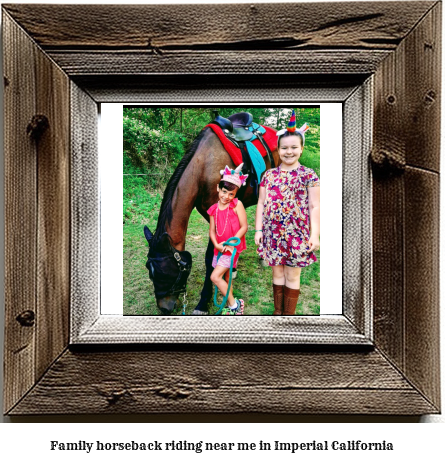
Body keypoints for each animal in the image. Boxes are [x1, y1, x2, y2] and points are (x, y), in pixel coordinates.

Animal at [146, 123, 278, 314]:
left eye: (167, 273)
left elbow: (210, 259)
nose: (164, 308)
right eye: (150, 271)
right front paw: (230, 269)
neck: (203, 167)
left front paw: (203, 302)